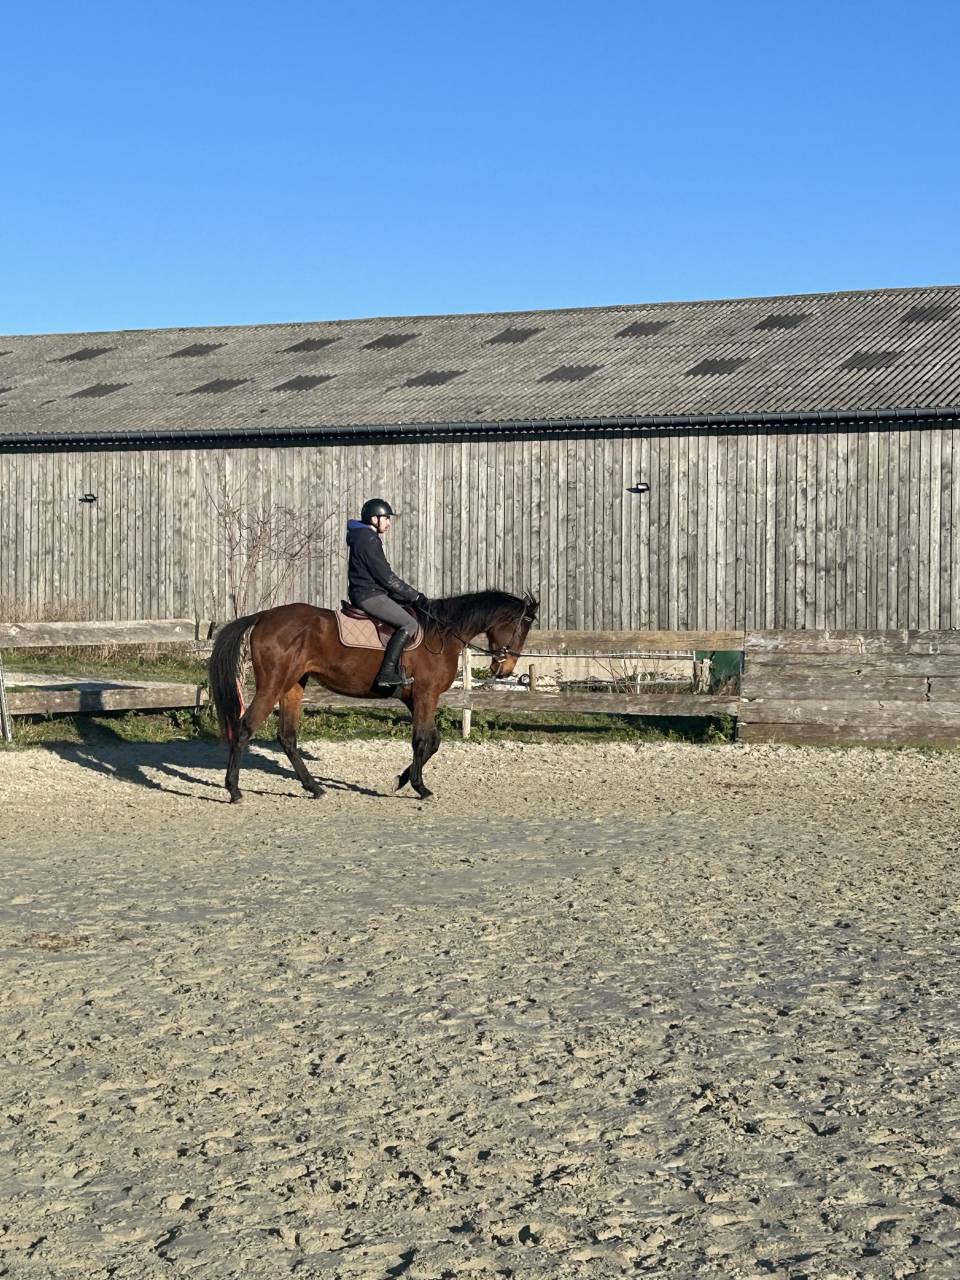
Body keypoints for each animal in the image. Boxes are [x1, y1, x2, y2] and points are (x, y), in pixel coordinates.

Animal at [207, 589, 539, 804]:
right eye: (521, 626)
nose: (505, 669)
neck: (441, 634)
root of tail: (264, 616)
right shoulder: (426, 695)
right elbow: (421, 741)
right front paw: (419, 787)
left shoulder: (417, 698)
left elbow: (433, 741)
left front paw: (401, 780)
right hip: (273, 684)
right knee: (245, 728)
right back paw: (233, 790)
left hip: (293, 686)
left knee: (287, 737)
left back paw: (314, 787)